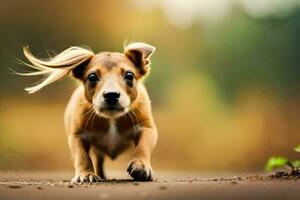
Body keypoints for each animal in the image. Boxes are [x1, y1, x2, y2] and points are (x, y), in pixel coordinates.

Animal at [18, 42, 158, 183]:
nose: (111, 94)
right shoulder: (77, 136)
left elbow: (143, 145)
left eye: (129, 75)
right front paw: (86, 174)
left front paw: (140, 166)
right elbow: (82, 156)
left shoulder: (147, 127)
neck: (111, 118)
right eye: (92, 77)